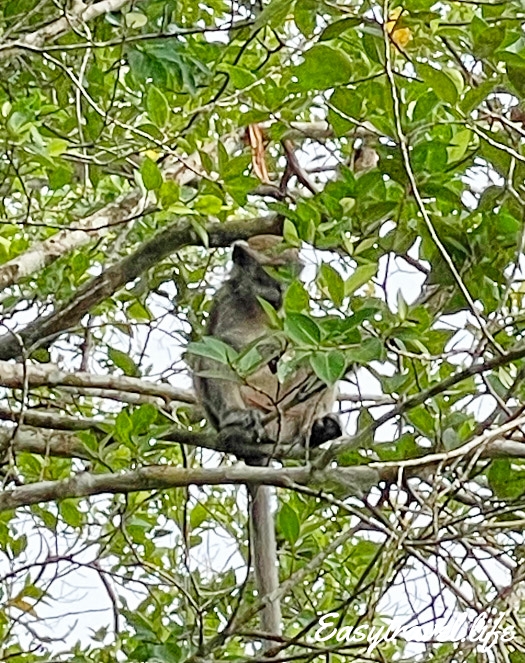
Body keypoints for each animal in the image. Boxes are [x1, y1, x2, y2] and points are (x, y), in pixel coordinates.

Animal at [191, 235, 341, 653]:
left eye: (291, 273)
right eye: (269, 271)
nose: (279, 291)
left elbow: (308, 345)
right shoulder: (226, 302)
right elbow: (223, 344)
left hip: (288, 416)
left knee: (318, 363)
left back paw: (316, 431)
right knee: (215, 355)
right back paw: (238, 425)